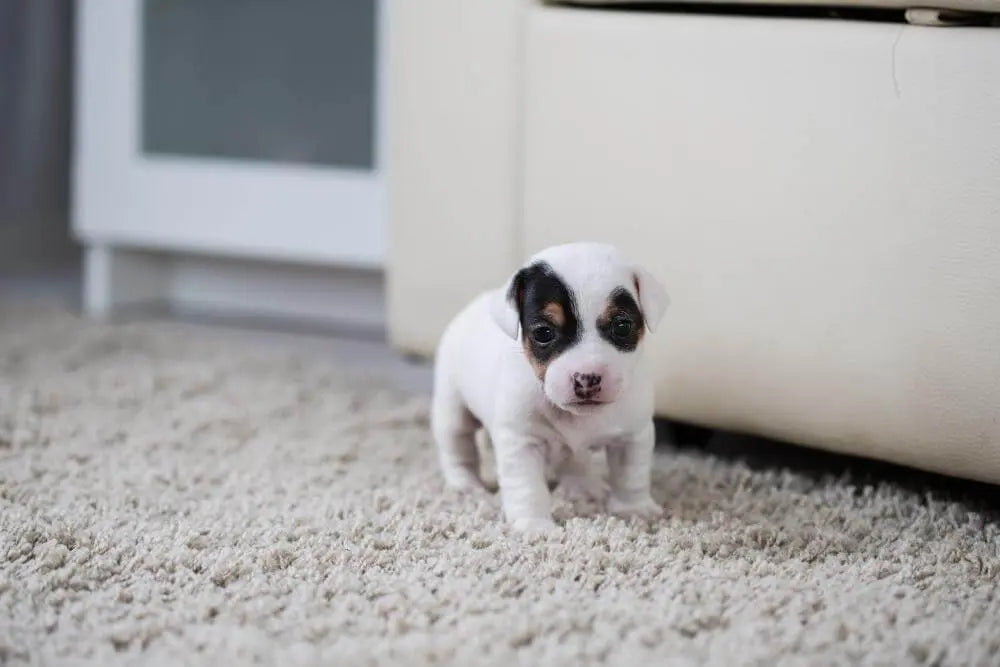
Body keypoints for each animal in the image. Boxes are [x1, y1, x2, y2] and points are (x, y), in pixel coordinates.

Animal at [432, 243, 672, 536]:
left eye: (622, 326)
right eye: (543, 333)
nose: (587, 378)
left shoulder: (632, 437)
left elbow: (631, 476)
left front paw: (634, 509)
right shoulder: (521, 443)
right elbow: (528, 488)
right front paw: (534, 525)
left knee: (574, 462)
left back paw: (582, 488)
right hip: (453, 411)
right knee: (458, 448)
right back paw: (465, 485)